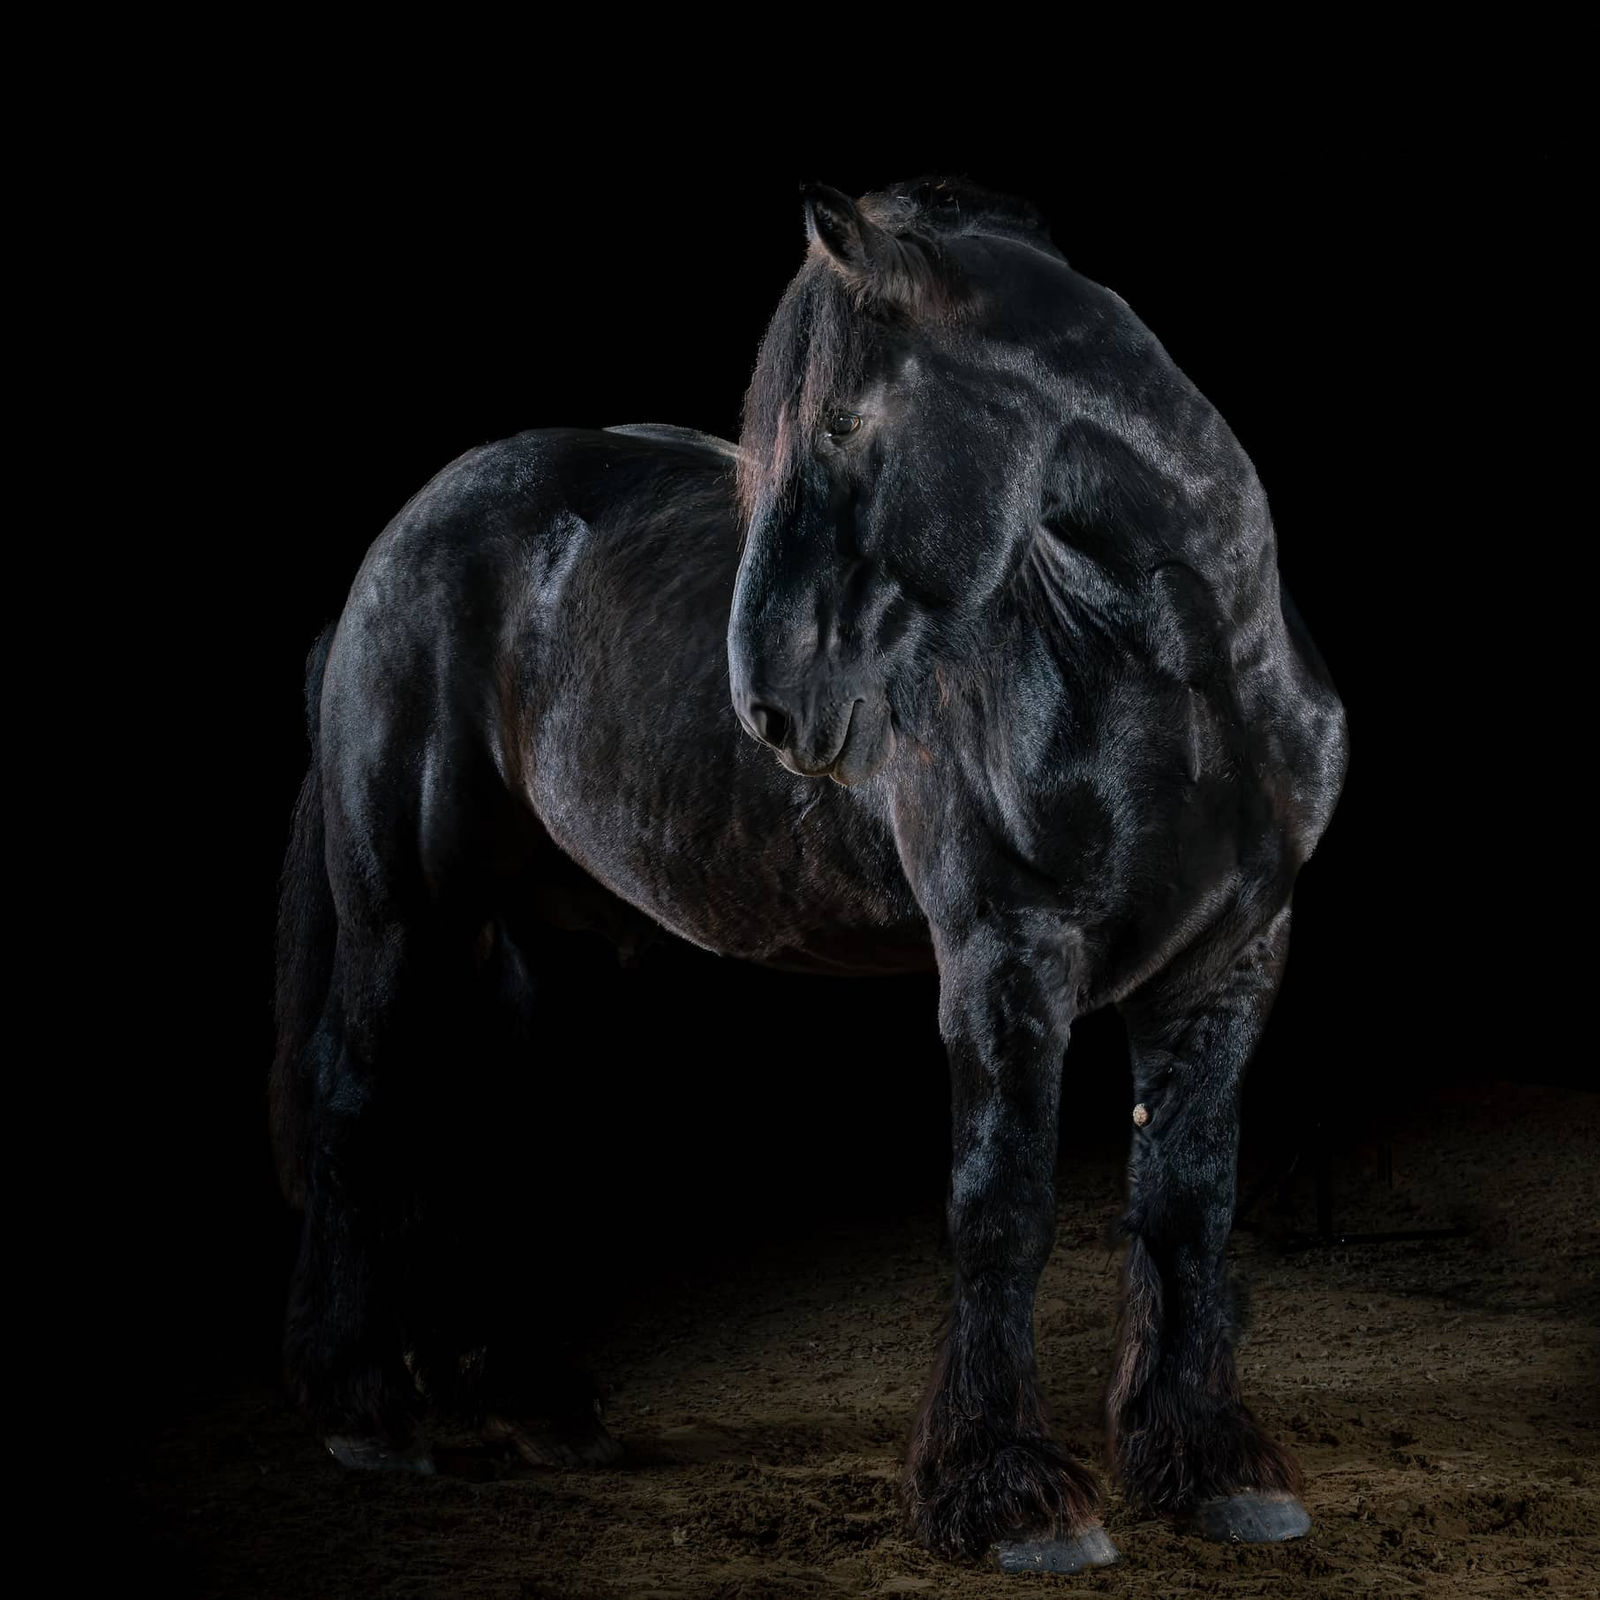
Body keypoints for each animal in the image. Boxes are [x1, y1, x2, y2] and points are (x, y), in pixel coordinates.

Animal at [272, 176, 1348, 1573]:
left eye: (841, 421)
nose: (768, 703)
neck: (1186, 683)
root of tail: (398, 541)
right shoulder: (1008, 958)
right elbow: (1000, 1208)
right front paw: (1008, 1492)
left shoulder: (1231, 959)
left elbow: (1187, 1207)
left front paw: (1213, 1466)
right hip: (406, 908)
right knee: (359, 1099)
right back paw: (367, 1415)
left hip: (535, 929)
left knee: (499, 1119)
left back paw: (541, 1407)